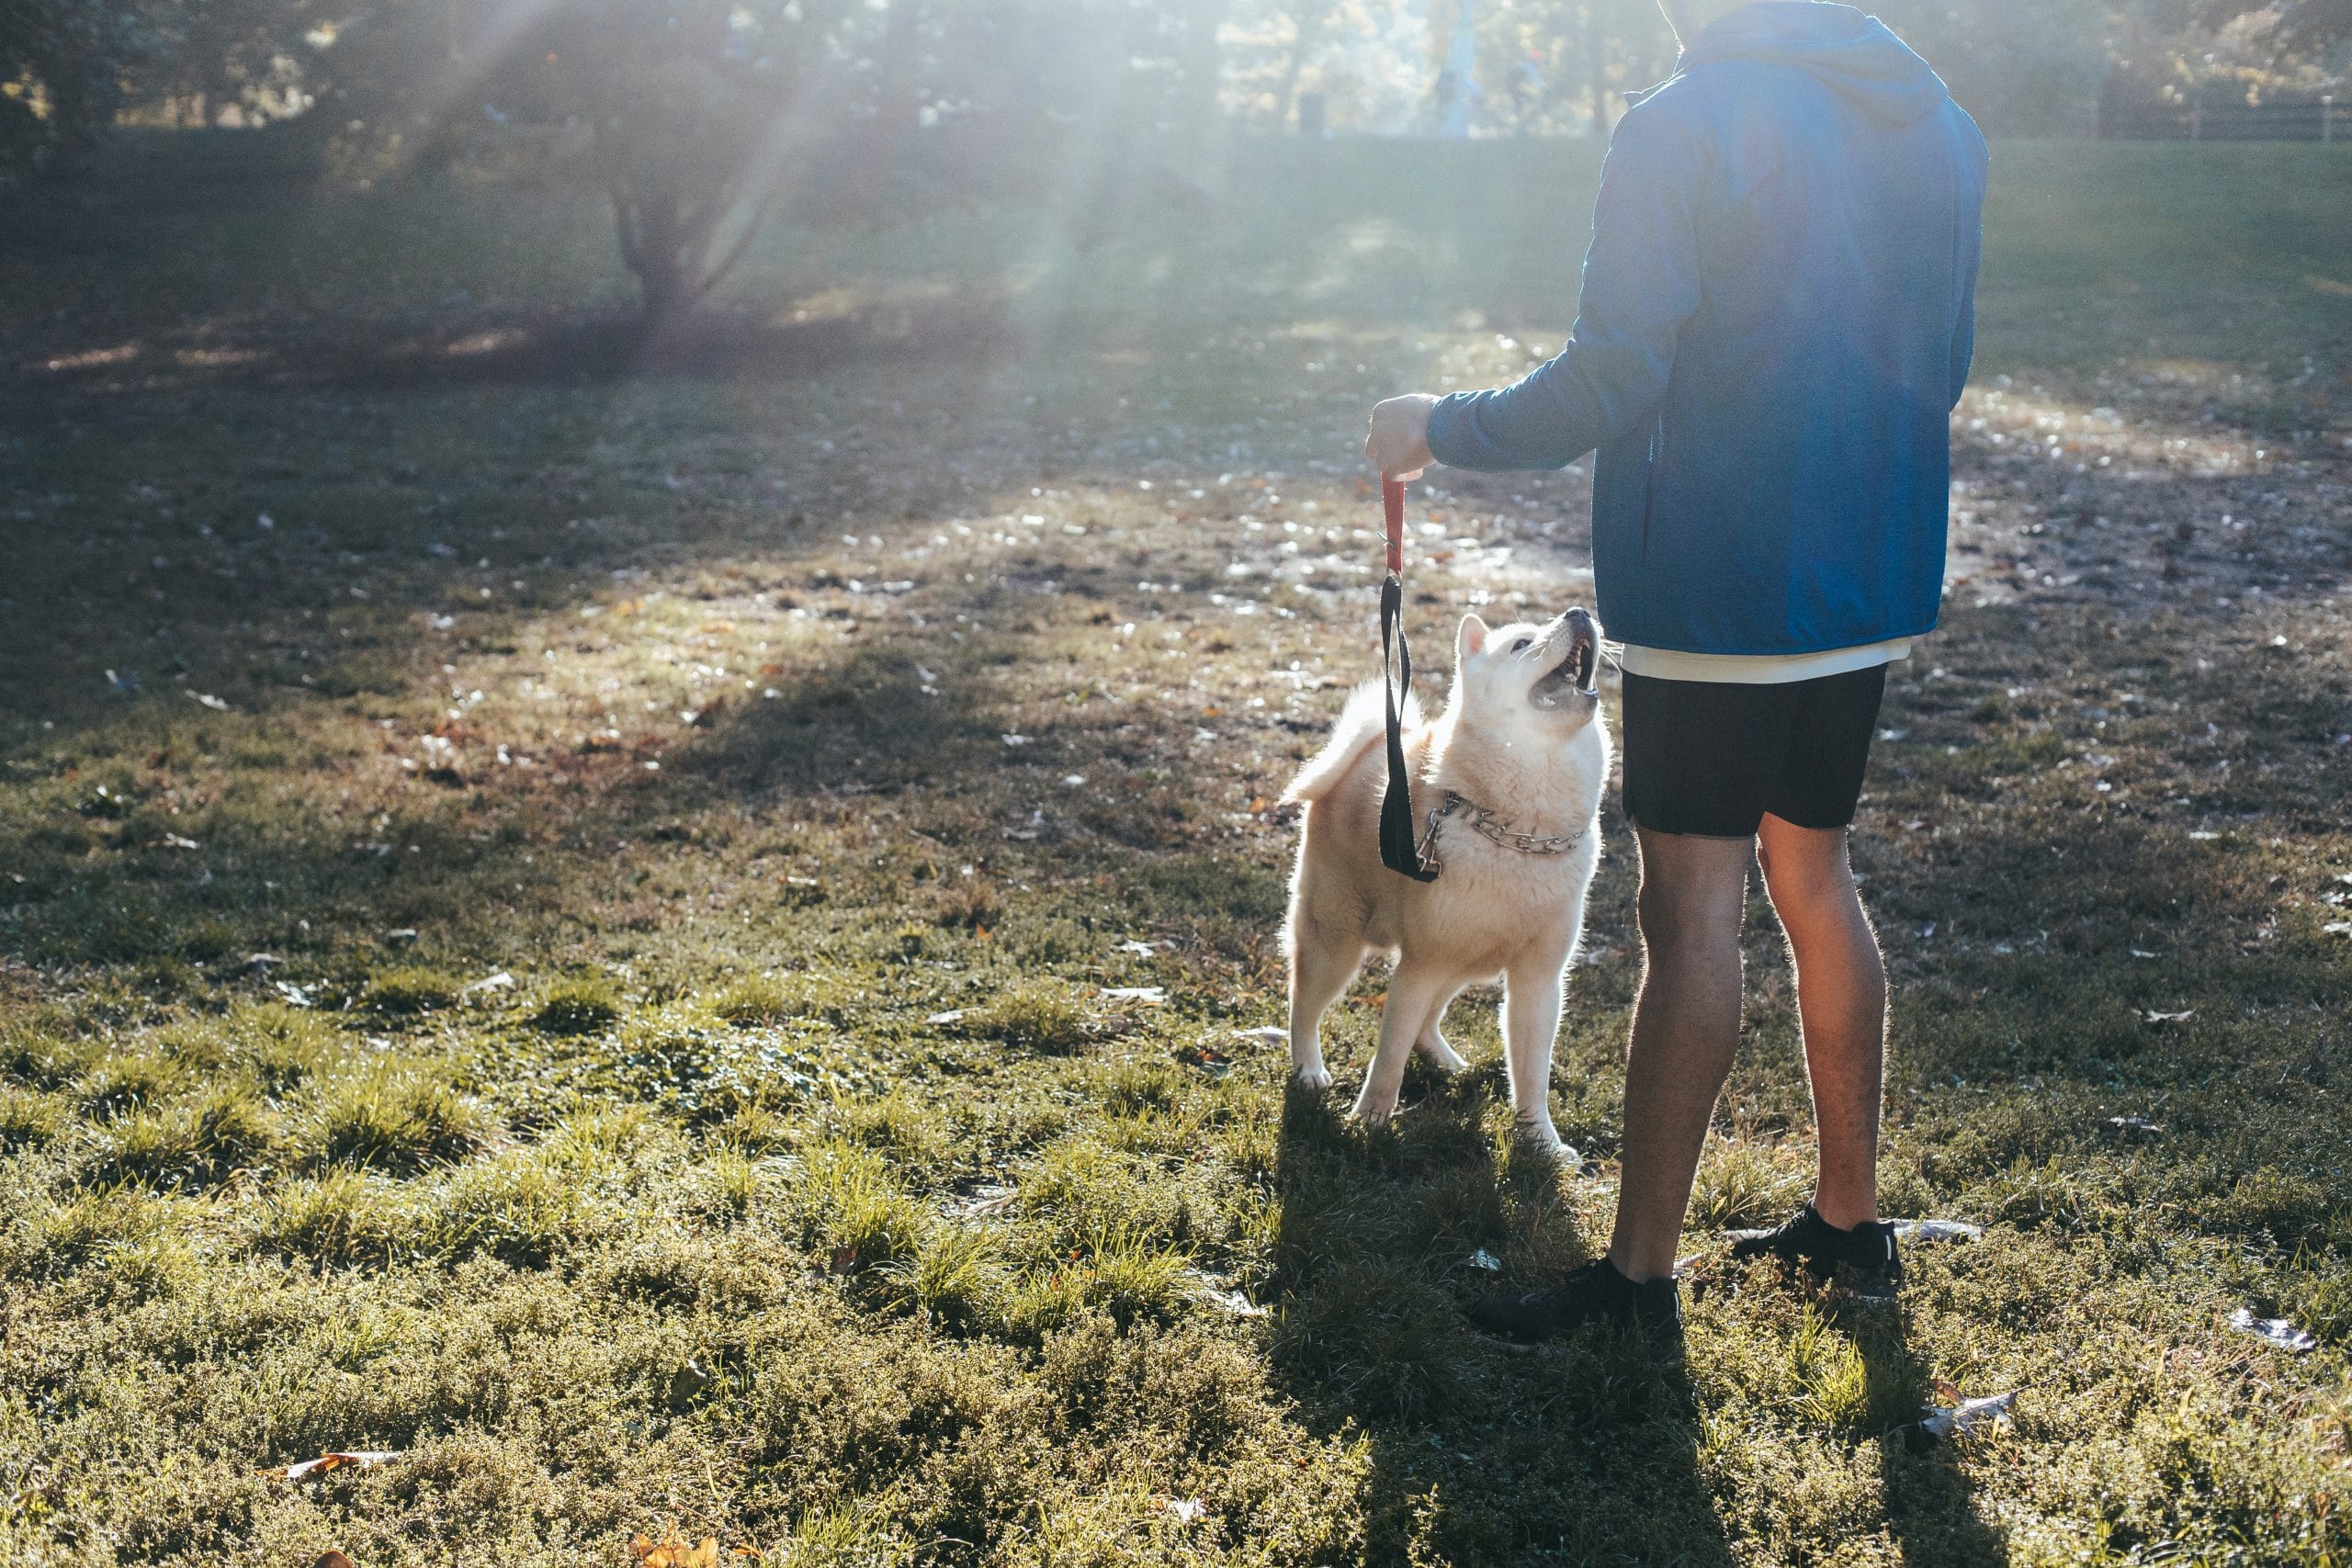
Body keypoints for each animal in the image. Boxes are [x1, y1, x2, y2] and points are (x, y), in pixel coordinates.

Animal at [1279, 606, 1609, 1161]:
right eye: (1522, 644)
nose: (1581, 612)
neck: (1521, 833)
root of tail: (1371, 747)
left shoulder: (1538, 983)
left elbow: (1533, 1076)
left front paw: (1540, 1141)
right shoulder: (1417, 970)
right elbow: (1388, 1056)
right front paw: (1369, 1122)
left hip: (1465, 963)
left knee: (1429, 1021)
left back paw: (1445, 1059)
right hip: (1337, 944)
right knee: (1303, 1005)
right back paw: (1308, 1068)